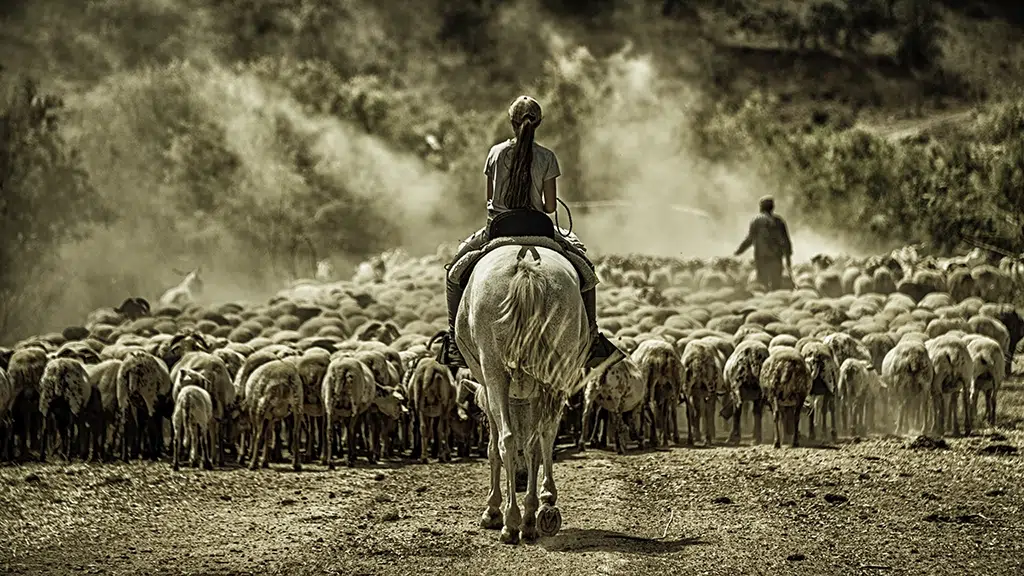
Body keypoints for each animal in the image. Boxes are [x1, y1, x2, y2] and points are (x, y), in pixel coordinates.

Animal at [458, 242, 593, 541]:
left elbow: (493, 449)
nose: (519, 481)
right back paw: (538, 513)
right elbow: (534, 445)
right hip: (554, 371)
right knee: (541, 437)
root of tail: (526, 265)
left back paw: (510, 522)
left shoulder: (487, 392)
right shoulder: (531, 396)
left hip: (494, 369)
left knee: (506, 441)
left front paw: (492, 510)